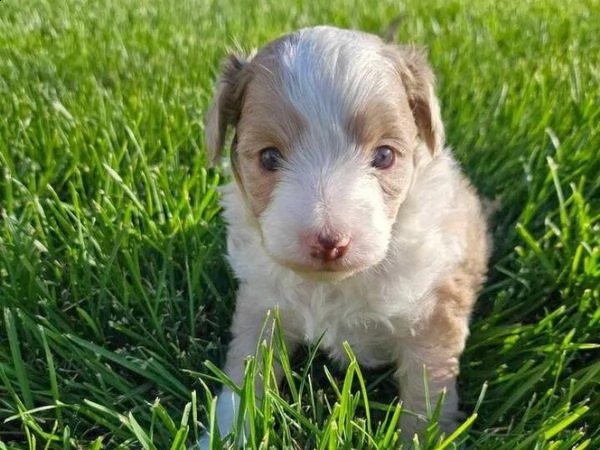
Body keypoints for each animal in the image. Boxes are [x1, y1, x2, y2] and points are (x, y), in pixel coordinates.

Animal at [199, 25, 490, 446]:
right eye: (269, 157)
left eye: (384, 156)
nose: (329, 241)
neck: (334, 284)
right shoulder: (261, 304)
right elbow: (244, 373)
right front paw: (225, 436)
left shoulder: (432, 317)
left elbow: (425, 398)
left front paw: (417, 439)